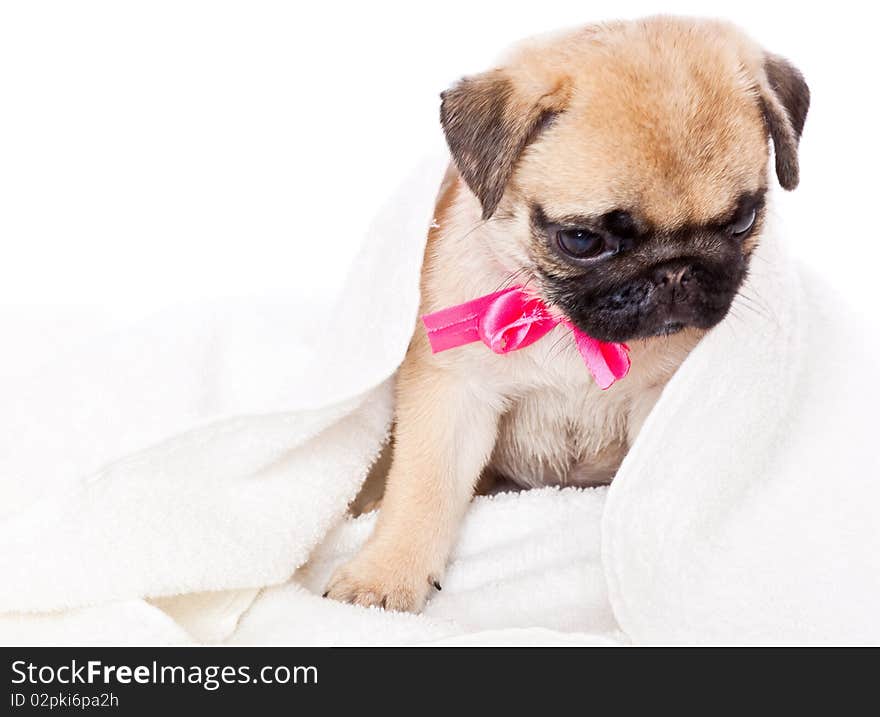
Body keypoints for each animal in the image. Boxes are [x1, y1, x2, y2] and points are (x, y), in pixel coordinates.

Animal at [326, 15, 808, 608]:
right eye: (581, 240)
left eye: (743, 221)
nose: (674, 272)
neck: (565, 326)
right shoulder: (453, 395)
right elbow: (424, 486)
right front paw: (386, 573)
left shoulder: (660, 400)